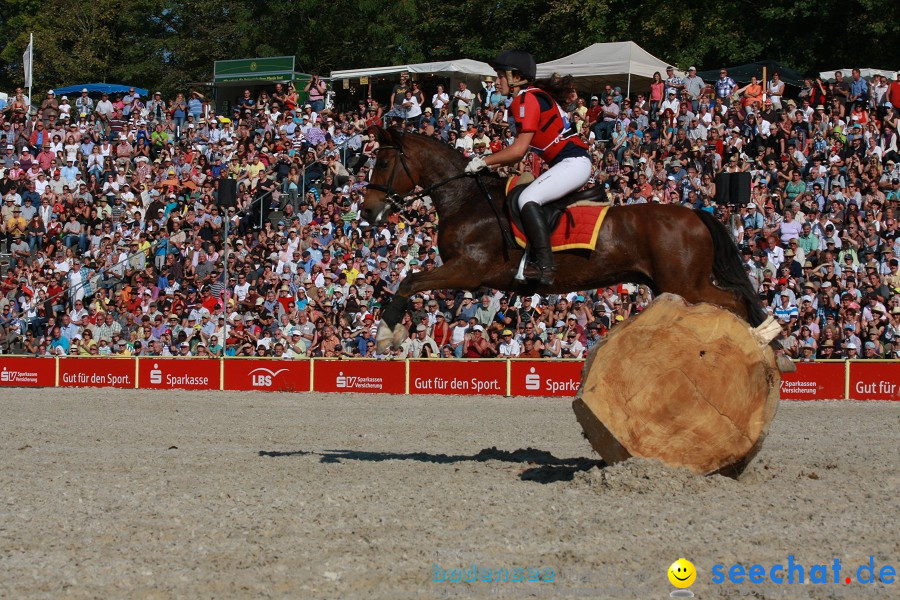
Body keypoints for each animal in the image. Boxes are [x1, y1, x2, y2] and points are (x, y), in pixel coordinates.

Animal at [362, 127, 768, 354]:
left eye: (382, 164)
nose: (367, 211)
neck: (467, 200)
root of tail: (695, 214)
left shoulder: (468, 271)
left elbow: (409, 281)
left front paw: (385, 334)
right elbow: (413, 282)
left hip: (685, 283)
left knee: (734, 302)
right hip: (670, 285)